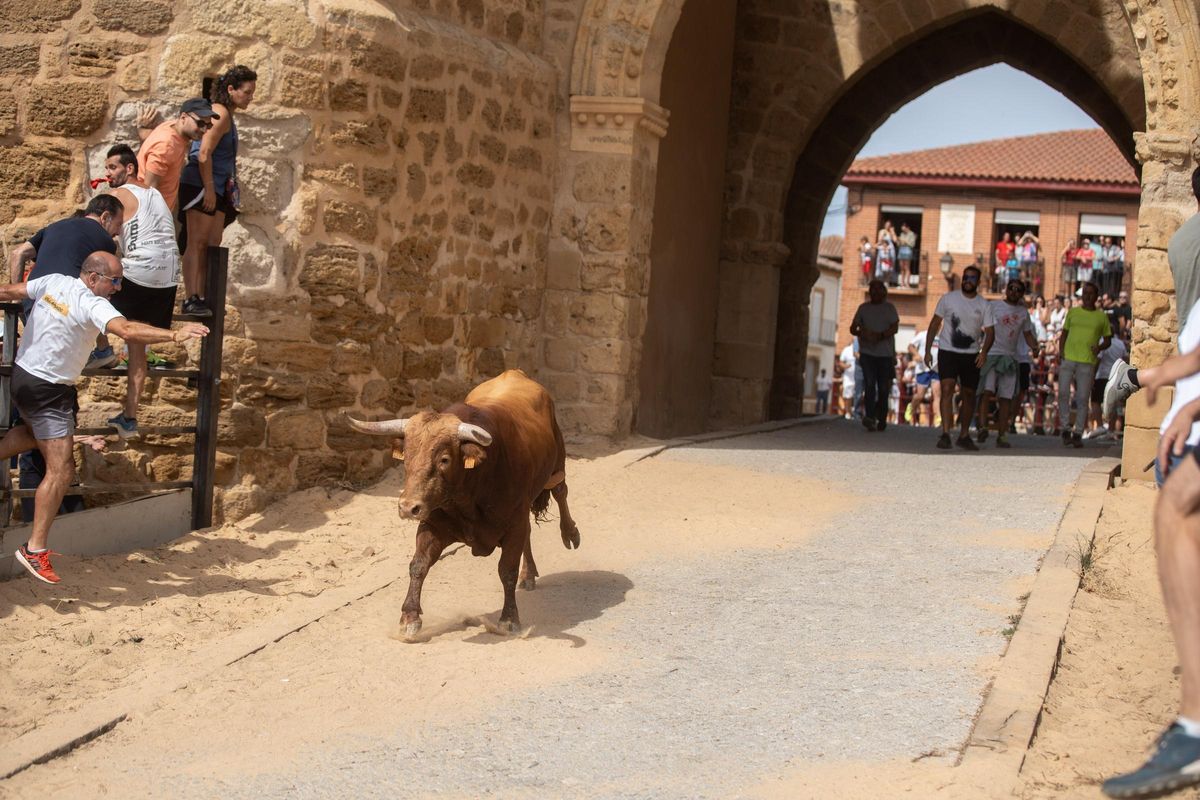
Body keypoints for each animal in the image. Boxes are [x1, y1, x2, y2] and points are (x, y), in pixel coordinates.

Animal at [348, 369, 580, 638]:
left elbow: (507, 570)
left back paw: (570, 534)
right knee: (530, 531)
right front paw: (409, 618)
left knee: (561, 491)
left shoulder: (514, 522)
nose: (407, 508)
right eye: (406, 457)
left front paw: (509, 619)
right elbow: (418, 565)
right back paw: (529, 574)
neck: (469, 492)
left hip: (557, 463)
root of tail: (514, 373)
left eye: (444, 459)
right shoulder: (433, 523)